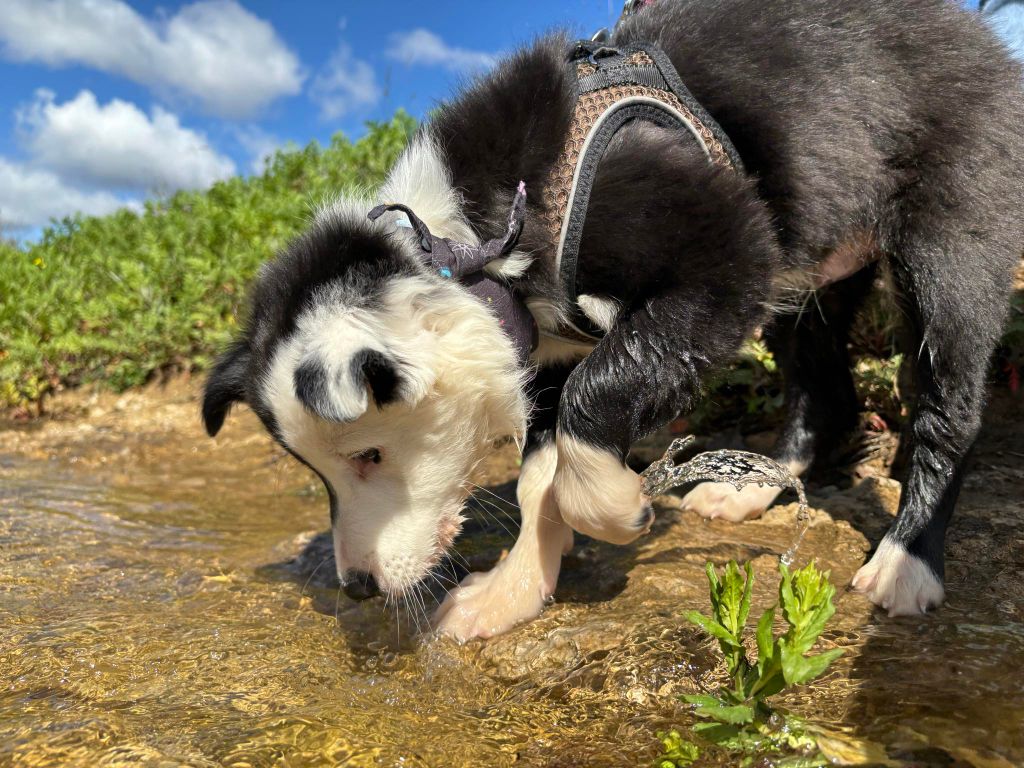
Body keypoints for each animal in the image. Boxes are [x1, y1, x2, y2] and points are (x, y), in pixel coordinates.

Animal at [201, 0, 1024, 638]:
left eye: (369, 455)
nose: (359, 588)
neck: (464, 243)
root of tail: (977, 33)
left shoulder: (727, 255)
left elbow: (591, 406)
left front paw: (618, 508)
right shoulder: (539, 345)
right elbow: (540, 474)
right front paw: (511, 593)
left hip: (952, 233)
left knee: (949, 404)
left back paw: (906, 559)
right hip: (820, 268)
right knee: (823, 385)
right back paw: (754, 487)